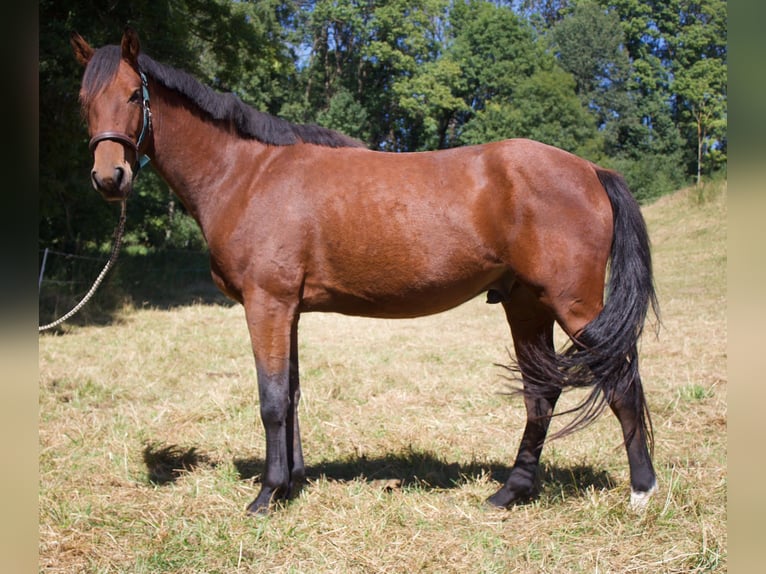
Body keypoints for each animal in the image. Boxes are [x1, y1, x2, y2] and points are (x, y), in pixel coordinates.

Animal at [70, 28, 659, 515]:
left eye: (134, 95)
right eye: (84, 101)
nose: (109, 178)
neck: (248, 174)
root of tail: (590, 169)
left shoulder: (267, 304)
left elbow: (271, 400)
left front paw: (267, 495)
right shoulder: (289, 310)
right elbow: (292, 393)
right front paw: (293, 482)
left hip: (574, 306)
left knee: (622, 381)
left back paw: (642, 492)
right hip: (526, 303)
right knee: (541, 394)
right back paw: (510, 492)